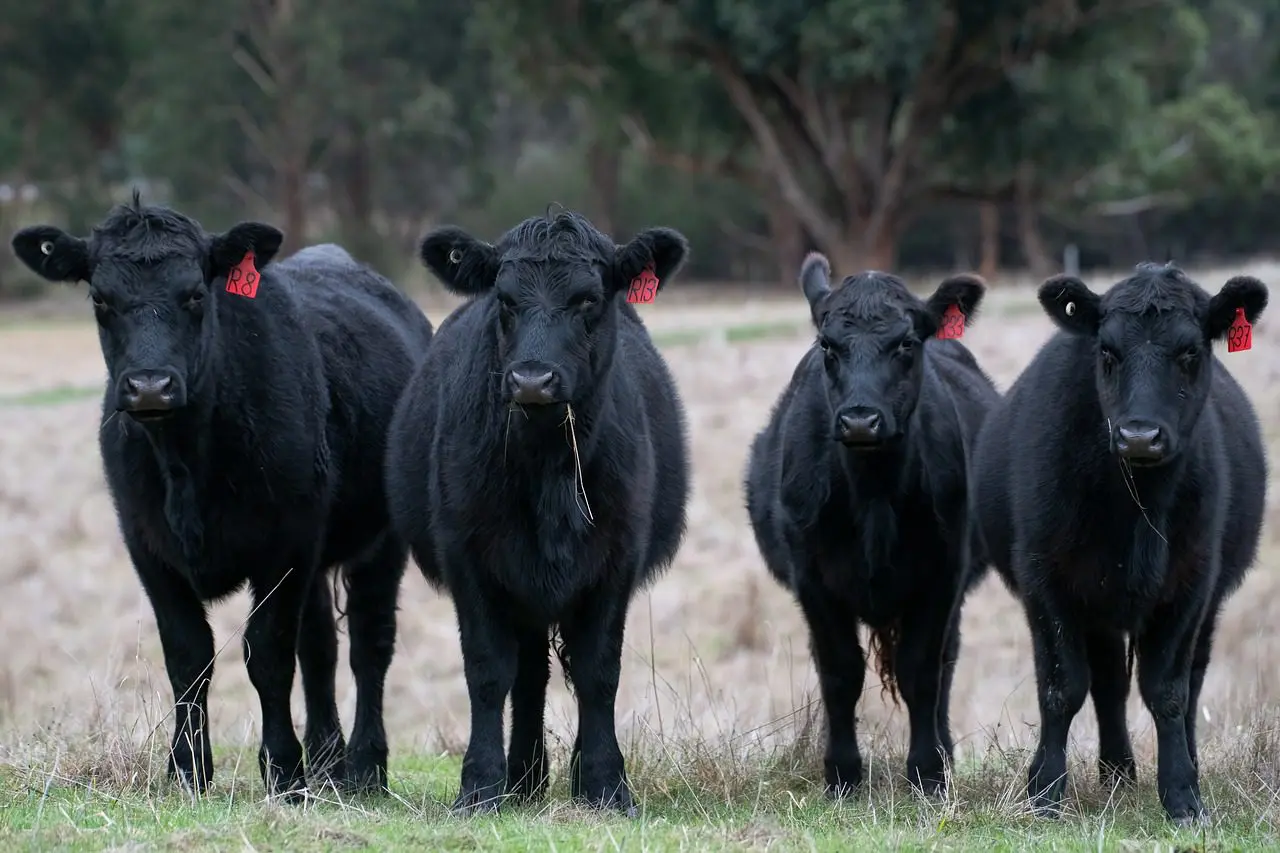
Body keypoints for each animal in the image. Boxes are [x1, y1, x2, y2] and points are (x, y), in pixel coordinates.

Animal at [747, 252, 1003, 799]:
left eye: (905, 343)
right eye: (828, 345)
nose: (860, 421)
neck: (873, 494)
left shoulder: (942, 575)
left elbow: (922, 671)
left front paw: (928, 773)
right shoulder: (813, 580)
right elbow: (840, 671)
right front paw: (842, 774)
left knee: (945, 663)